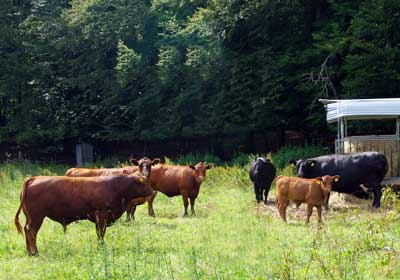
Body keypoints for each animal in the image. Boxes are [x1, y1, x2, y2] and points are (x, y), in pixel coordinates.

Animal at [14, 175, 155, 256]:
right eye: (145, 183)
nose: (153, 192)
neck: (115, 186)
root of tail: (34, 178)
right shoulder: (102, 215)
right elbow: (101, 233)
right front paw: (101, 247)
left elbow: (99, 233)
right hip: (37, 217)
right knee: (31, 231)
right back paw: (34, 252)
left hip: (30, 217)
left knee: (27, 230)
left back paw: (29, 251)